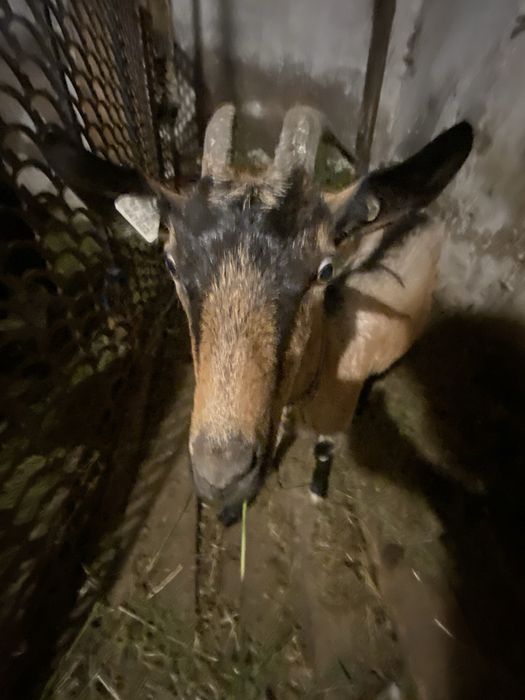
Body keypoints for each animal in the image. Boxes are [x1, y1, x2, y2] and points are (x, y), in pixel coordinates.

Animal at [41, 106, 473, 522]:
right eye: (170, 264)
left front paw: (316, 490)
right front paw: (234, 508)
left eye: (324, 270)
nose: (222, 475)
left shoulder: (332, 418)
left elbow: (323, 450)